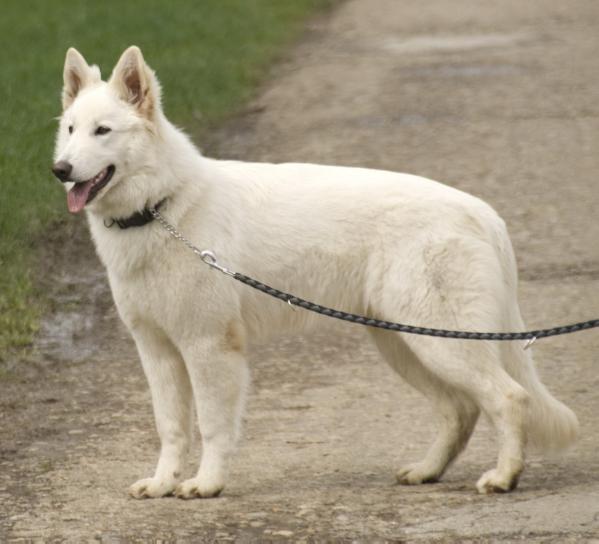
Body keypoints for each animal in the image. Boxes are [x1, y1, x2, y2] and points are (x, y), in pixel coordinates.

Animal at [54, 45, 580, 498]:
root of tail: (483, 212)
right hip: (406, 344)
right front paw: (163, 483)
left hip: (441, 345)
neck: (163, 205)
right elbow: (172, 428)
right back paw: (427, 471)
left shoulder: (208, 348)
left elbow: (213, 426)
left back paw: (503, 477)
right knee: (460, 410)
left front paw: (206, 484)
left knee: (509, 399)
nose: (60, 169)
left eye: (102, 131)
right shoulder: (158, 352)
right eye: (71, 129)